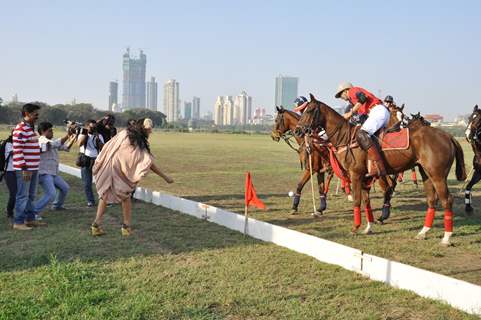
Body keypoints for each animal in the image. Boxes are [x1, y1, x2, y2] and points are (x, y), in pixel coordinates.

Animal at [292, 94, 464, 246]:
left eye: (309, 110)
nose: (298, 131)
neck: (345, 137)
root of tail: (449, 136)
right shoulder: (365, 177)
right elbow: (366, 201)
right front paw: (368, 227)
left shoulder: (355, 174)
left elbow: (357, 200)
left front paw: (355, 228)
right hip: (425, 173)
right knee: (431, 199)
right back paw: (423, 232)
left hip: (437, 175)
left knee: (447, 200)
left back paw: (446, 238)